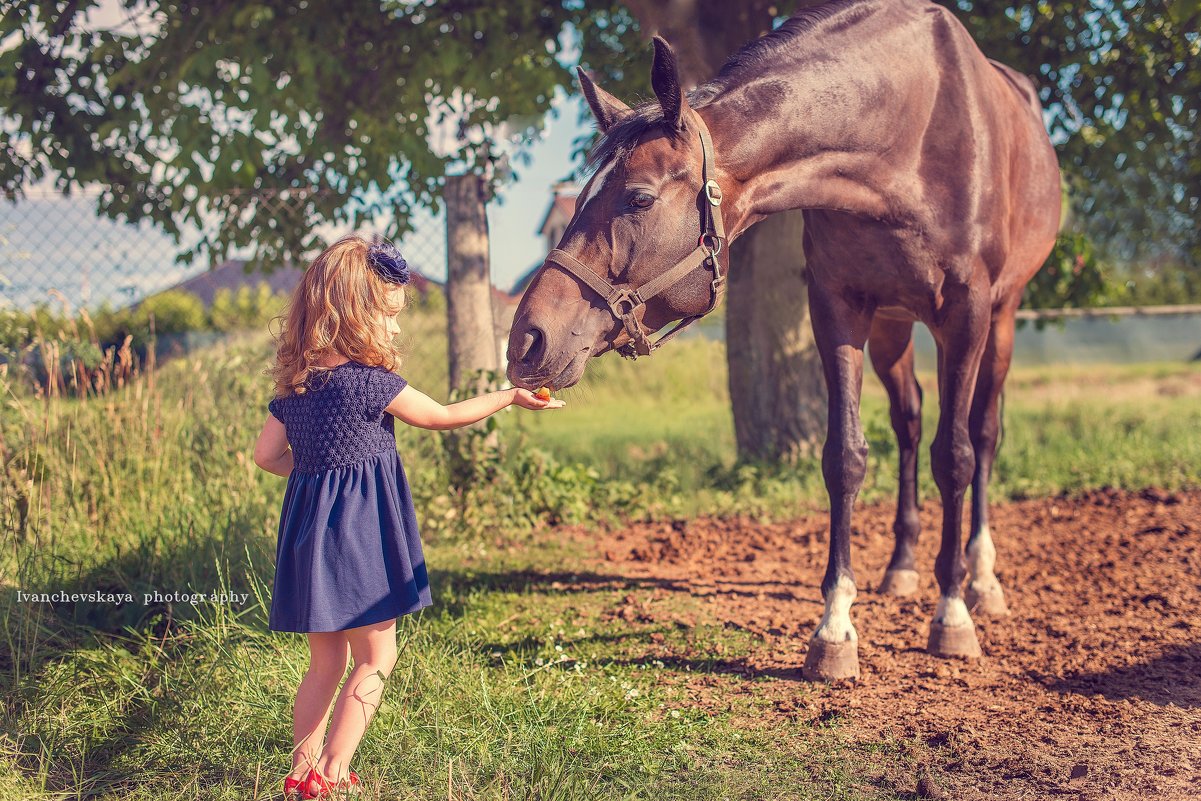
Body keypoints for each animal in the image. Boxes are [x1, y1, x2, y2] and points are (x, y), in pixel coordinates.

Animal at [504, 0, 1061, 682]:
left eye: (637, 198)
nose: (527, 340)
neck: (908, 132)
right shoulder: (838, 308)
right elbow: (845, 458)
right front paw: (835, 629)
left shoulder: (967, 312)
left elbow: (953, 458)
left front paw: (951, 616)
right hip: (893, 327)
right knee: (907, 423)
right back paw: (901, 568)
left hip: (1000, 321)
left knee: (981, 434)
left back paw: (980, 580)